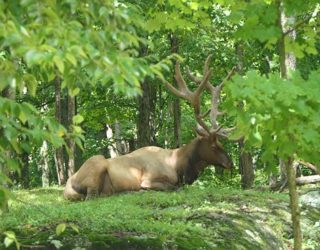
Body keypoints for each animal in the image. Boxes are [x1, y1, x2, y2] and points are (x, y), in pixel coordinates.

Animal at [64, 55, 235, 200]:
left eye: (221, 143)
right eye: (213, 146)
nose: (230, 163)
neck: (179, 166)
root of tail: (67, 187)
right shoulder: (150, 179)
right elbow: (174, 187)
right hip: (96, 165)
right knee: (92, 196)